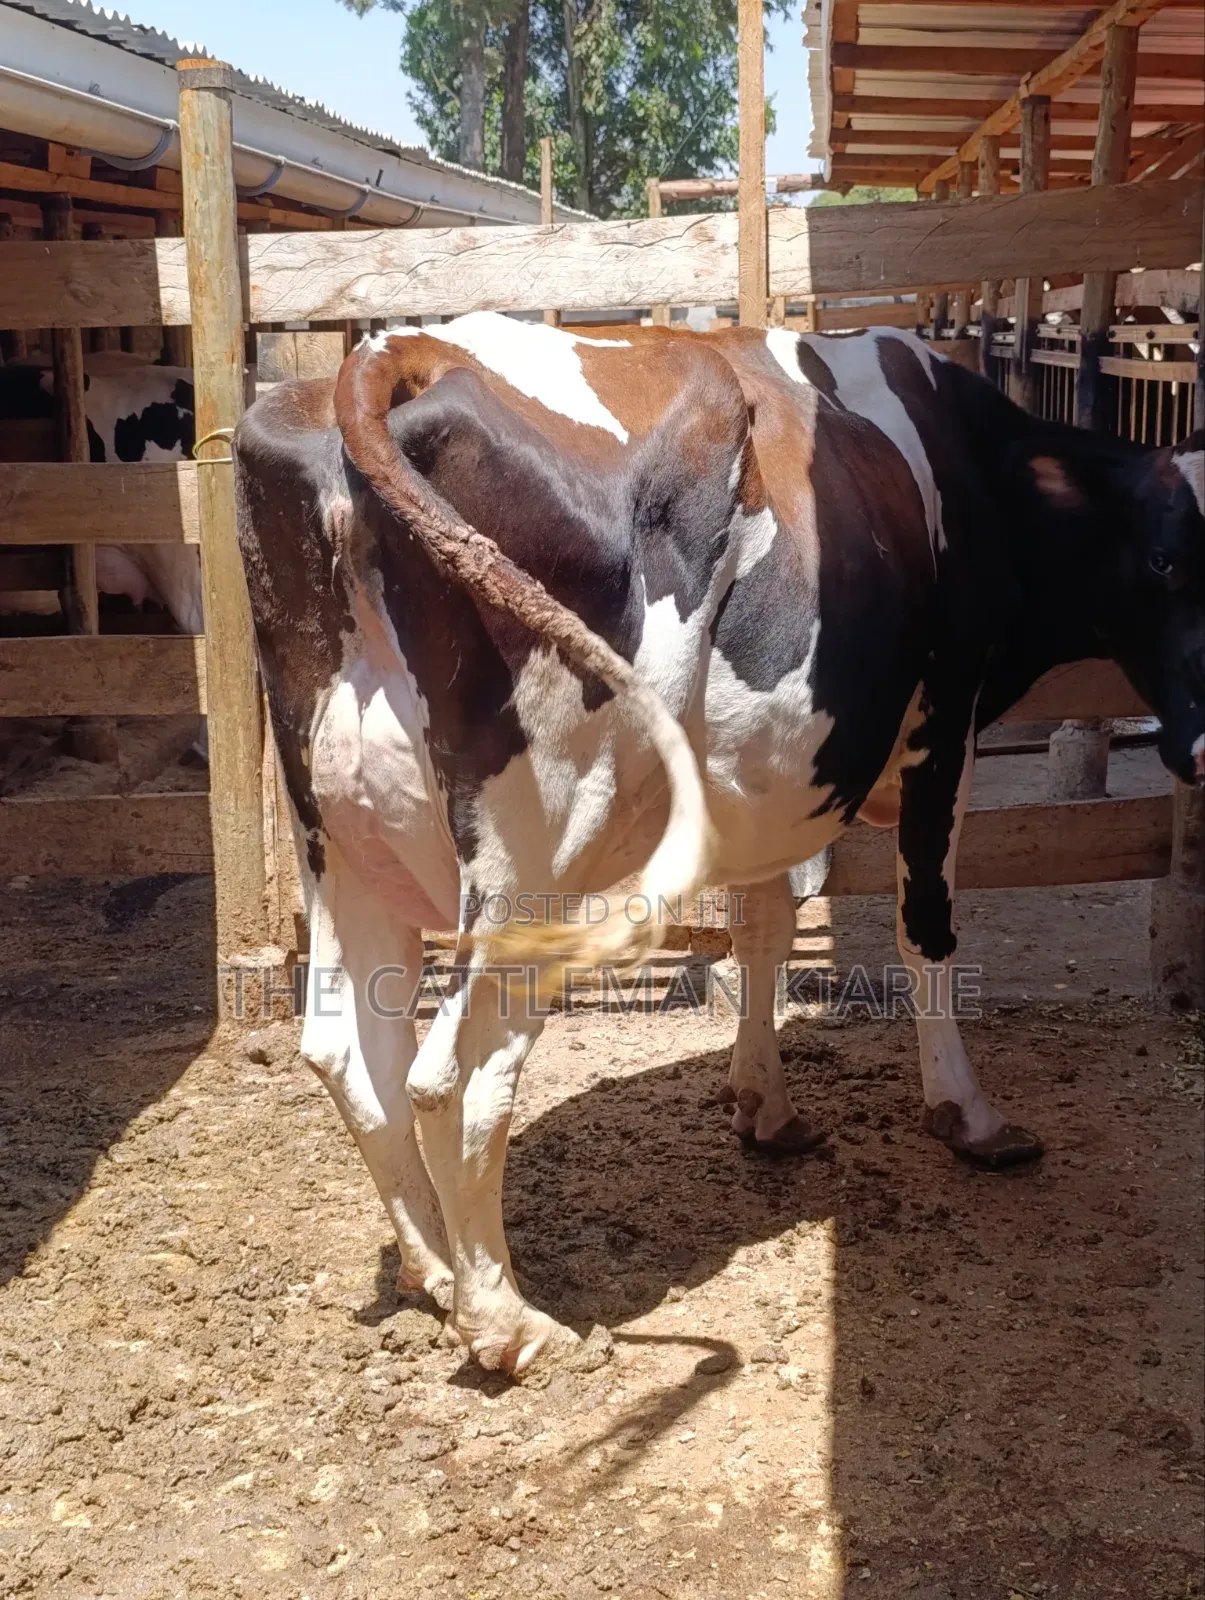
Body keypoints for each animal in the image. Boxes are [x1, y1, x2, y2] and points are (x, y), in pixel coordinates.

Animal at [233, 313, 1205, 1375]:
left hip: (340, 839)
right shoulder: (945, 724)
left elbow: (763, 931)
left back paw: (438, 1273)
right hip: (537, 857)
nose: (1200, 746)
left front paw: (763, 1107)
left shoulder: (768, 776)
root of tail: (396, 351)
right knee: (453, 1075)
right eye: (1168, 560)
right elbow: (926, 933)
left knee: (348, 1051)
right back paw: (506, 1323)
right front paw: (969, 1116)